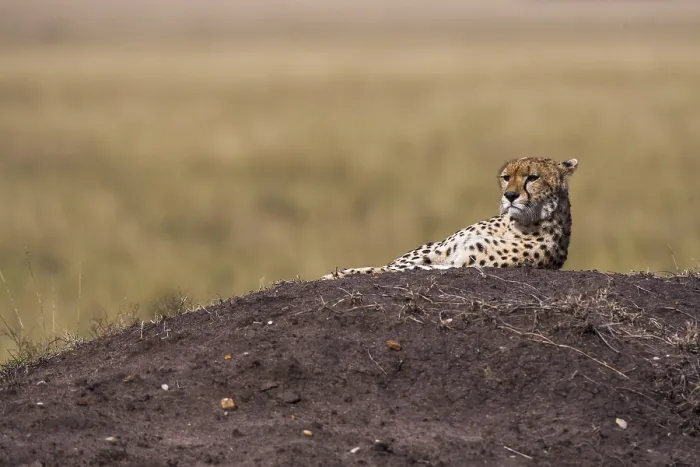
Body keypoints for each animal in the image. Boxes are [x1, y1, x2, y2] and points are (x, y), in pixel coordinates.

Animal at [321, 157, 578, 280]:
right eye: (506, 177)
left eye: (533, 178)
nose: (510, 196)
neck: (515, 225)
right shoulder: (439, 253)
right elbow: (388, 267)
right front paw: (336, 273)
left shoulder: (459, 263)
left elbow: (401, 270)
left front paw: (337, 274)